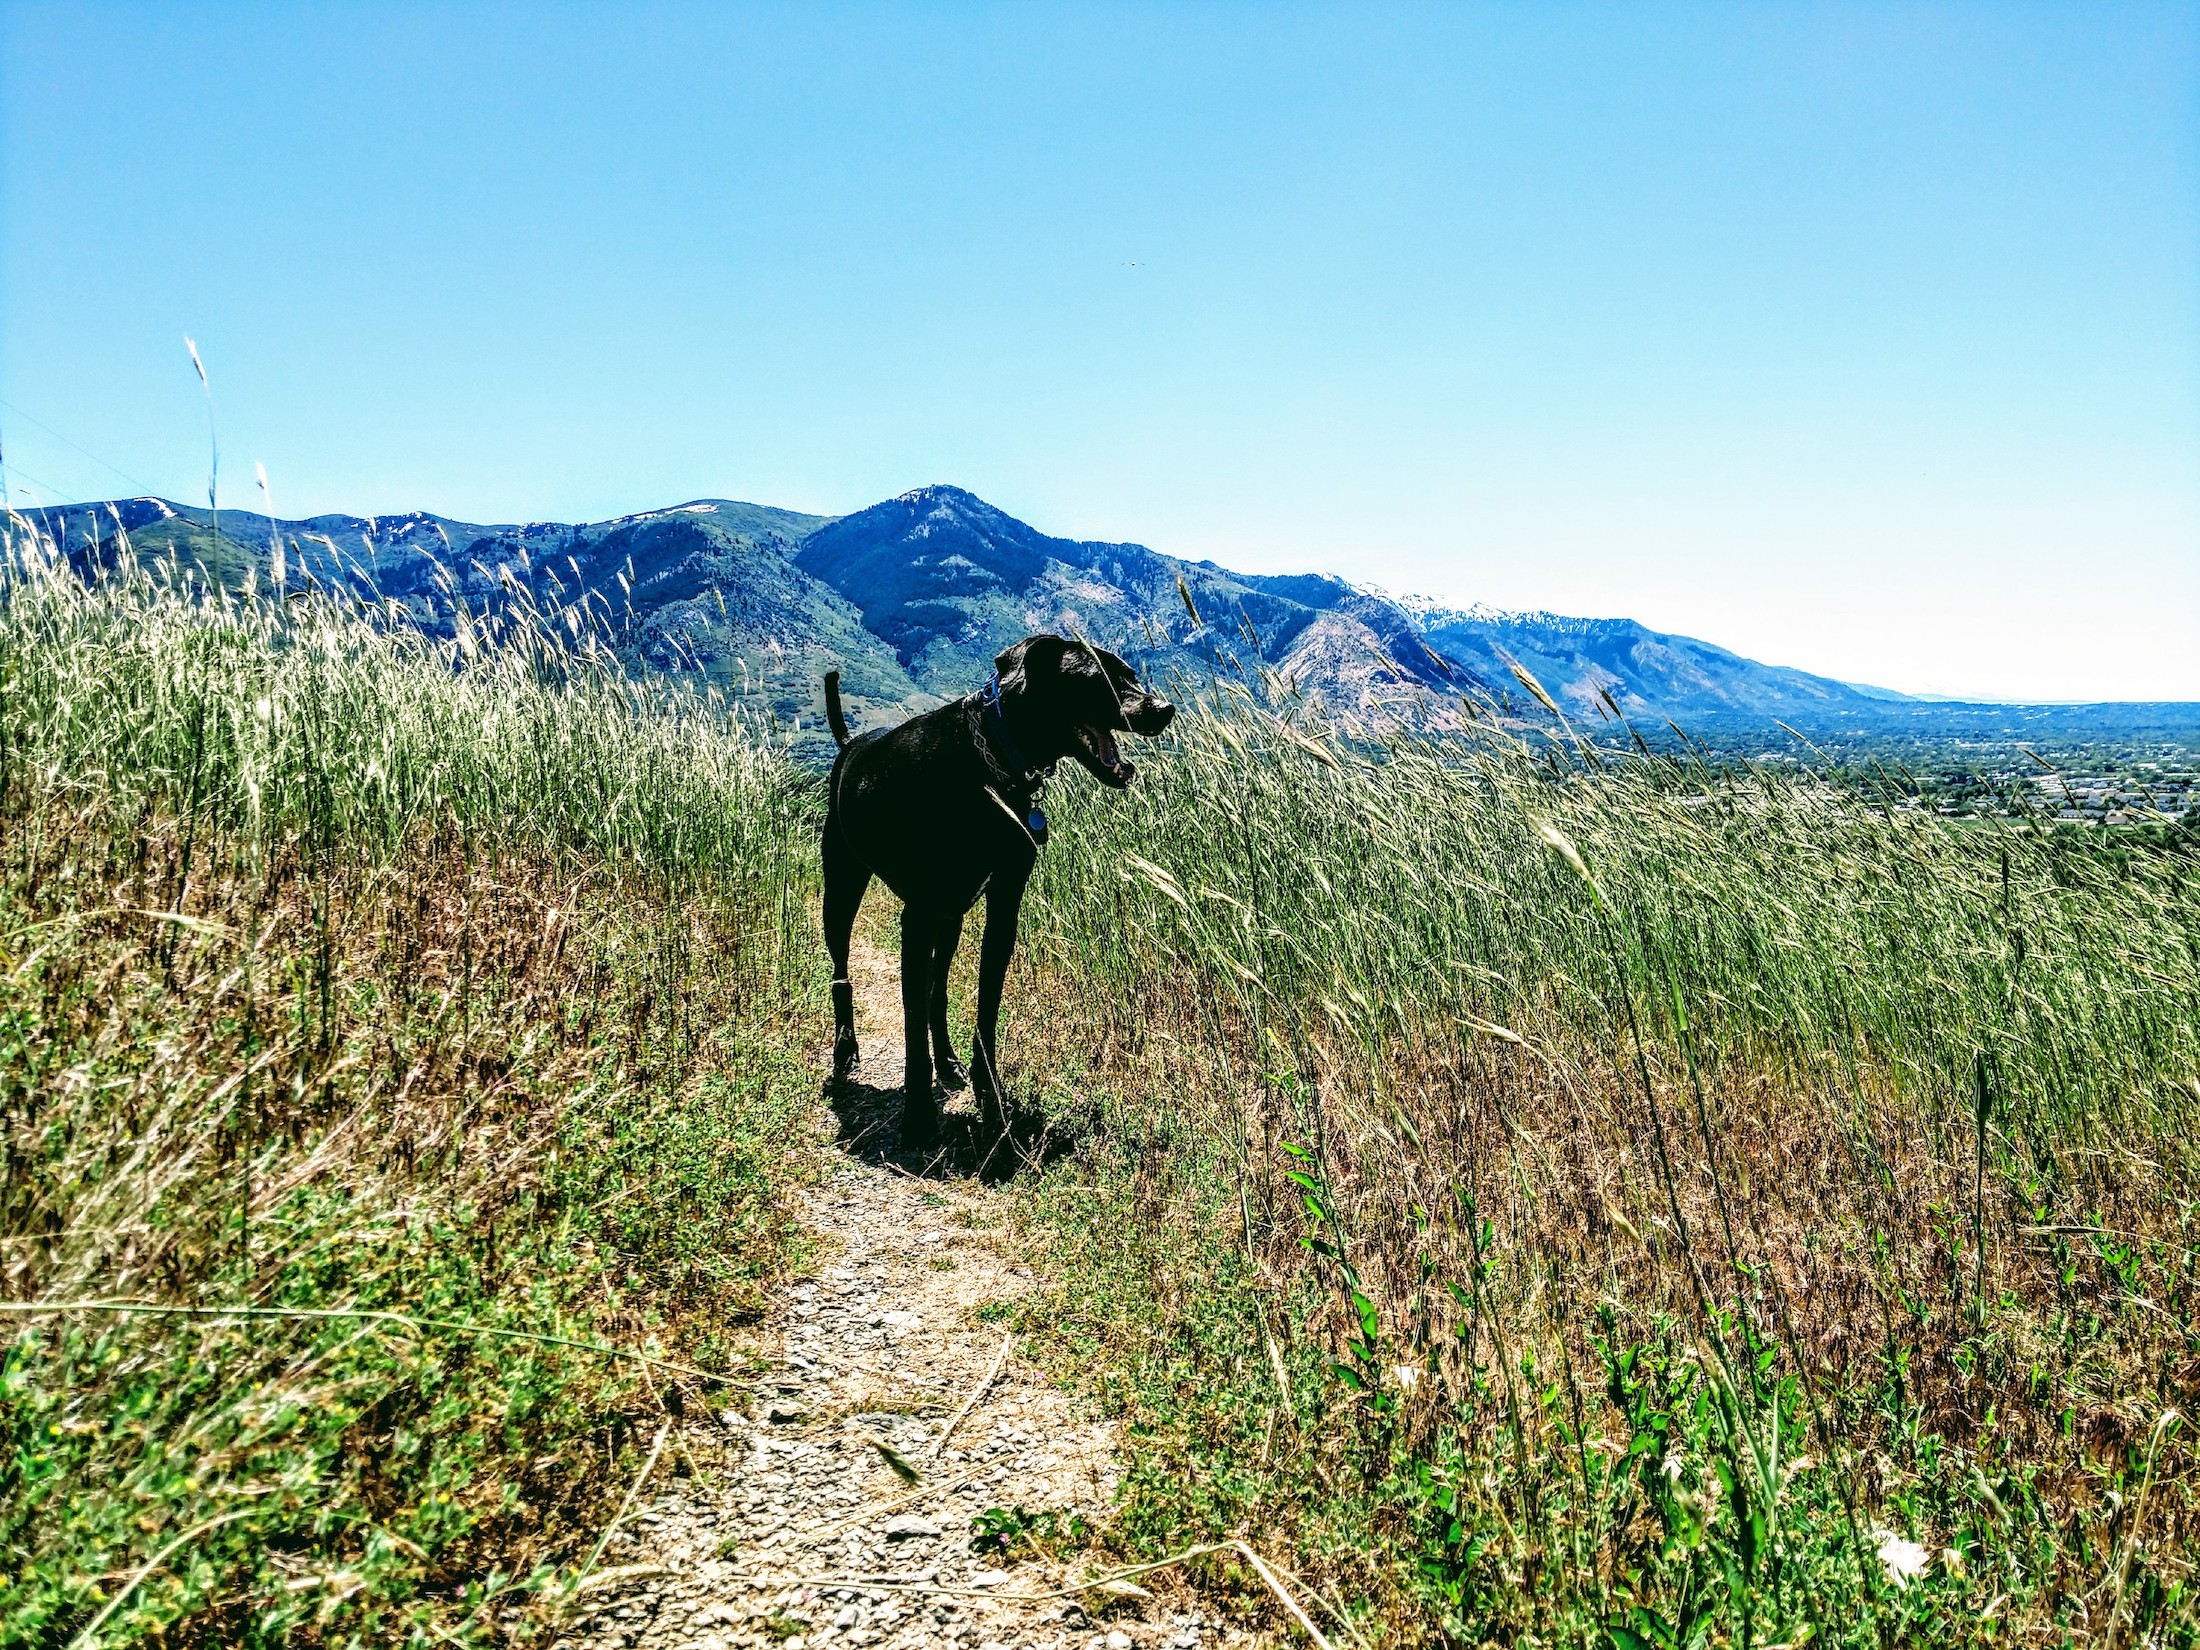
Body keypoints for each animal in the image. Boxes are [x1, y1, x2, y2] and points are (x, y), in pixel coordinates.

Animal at [822, 633, 1170, 1152]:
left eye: (1128, 672)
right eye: (1098, 678)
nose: (1163, 709)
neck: (989, 763)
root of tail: (851, 744)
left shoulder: (1003, 905)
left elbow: (983, 1009)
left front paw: (990, 1094)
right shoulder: (916, 916)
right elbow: (911, 1025)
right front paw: (919, 1118)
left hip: (951, 916)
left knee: (938, 989)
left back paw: (947, 1062)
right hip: (843, 888)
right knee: (842, 972)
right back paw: (846, 1048)